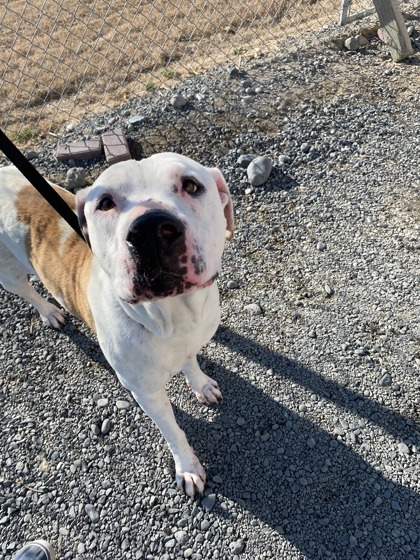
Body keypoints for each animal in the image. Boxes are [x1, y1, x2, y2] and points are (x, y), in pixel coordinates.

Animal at [0, 152, 233, 494]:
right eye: (106, 202)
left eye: (191, 185)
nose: (150, 229)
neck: (172, 317)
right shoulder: (147, 394)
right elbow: (174, 432)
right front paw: (188, 469)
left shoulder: (191, 342)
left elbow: (192, 363)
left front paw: (201, 384)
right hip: (8, 275)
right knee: (27, 291)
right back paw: (49, 312)